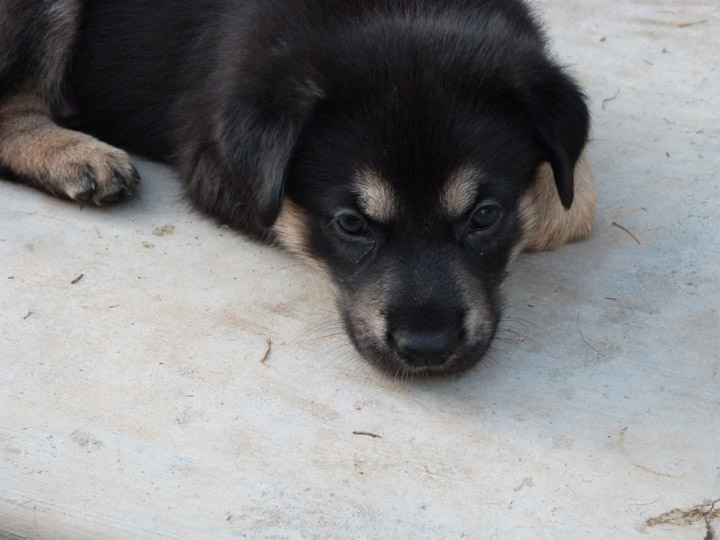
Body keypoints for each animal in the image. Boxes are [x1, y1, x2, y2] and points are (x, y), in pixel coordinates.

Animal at [0, 0, 596, 376]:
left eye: (484, 216)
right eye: (351, 224)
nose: (428, 350)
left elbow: (574, 200)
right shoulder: (212, 156)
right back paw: (77, 154)